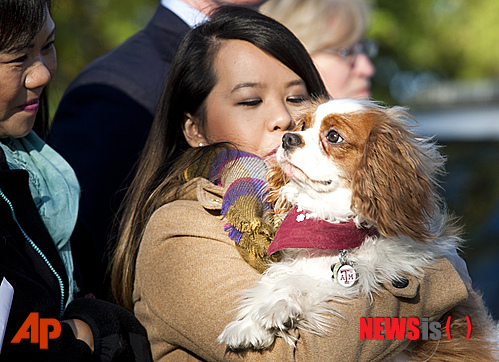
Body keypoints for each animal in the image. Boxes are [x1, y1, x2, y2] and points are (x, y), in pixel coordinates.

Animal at [220, 98, 499, 360]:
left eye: (333, 136)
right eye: (302, 126)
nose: (287, 137)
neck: (332, 224)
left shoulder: (379, 270)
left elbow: (313, 283)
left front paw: (275, 307)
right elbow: (281, 277)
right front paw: (248, 323)